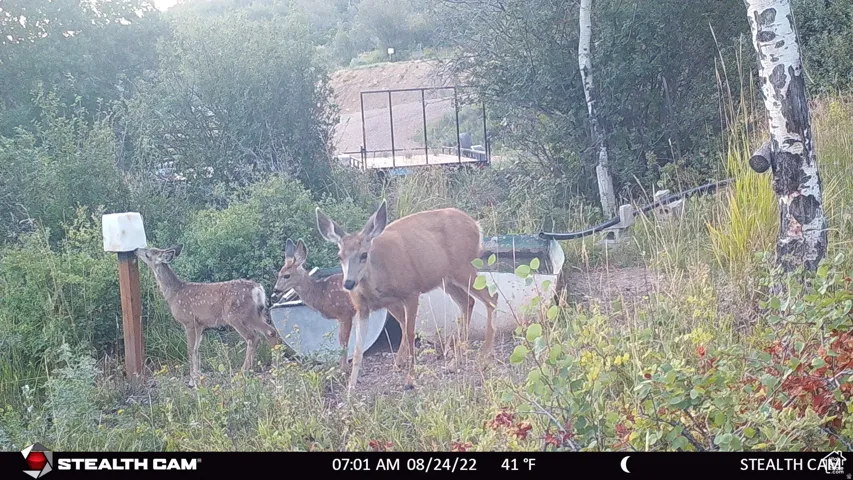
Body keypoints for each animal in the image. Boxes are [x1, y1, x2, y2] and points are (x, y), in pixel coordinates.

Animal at [135, 244, 281, 387]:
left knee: (254, 338)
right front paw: (197, 378)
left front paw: (192, 382)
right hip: (257, 313)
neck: (174, 293)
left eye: (148, 253)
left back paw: (243, 374)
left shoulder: (189, 321)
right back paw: (276, 368)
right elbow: (196, 349)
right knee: (270, 331)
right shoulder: (200, 324)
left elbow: (190, 349)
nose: (136, 250)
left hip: (237, 315)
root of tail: (258, 289)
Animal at [271, 238, 356, 375]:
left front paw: (343, 369)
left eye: (287, 275)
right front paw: (344, 367)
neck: (321, 293)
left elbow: (343, 340)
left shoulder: (345, 312)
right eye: (278, 274)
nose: (275, 291)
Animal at [315, 199, 498, 394]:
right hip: (447, 280)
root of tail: (476, 226)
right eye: (339, 256)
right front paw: (351, 388)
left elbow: (410, 333)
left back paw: (485, 354)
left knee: (491, 297)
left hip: (464, 267)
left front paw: (410, 379)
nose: (349, 283)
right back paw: (454, 362)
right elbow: (358, 348)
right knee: (467, 302)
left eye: (364, 254)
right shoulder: (364, 307)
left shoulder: (411, 292)